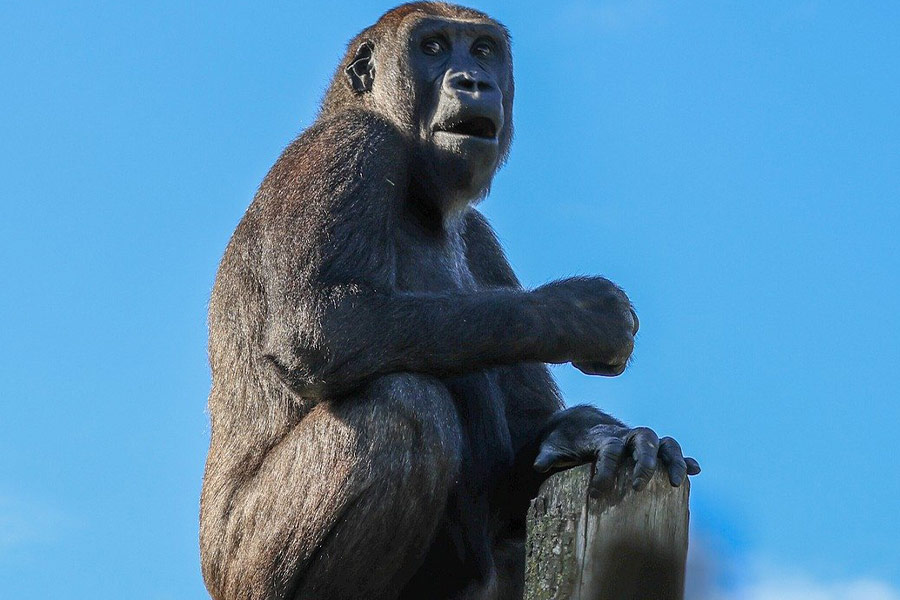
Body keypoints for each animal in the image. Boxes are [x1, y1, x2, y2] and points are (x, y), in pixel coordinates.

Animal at [199, 3, 700, 600]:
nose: (473, 82)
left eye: (482, 51)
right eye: (434, 48)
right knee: (404, 406)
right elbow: (323, 324)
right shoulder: (350, 143)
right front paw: (579, 313)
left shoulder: (480, 234)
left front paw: (586, 434)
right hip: (240, 572)